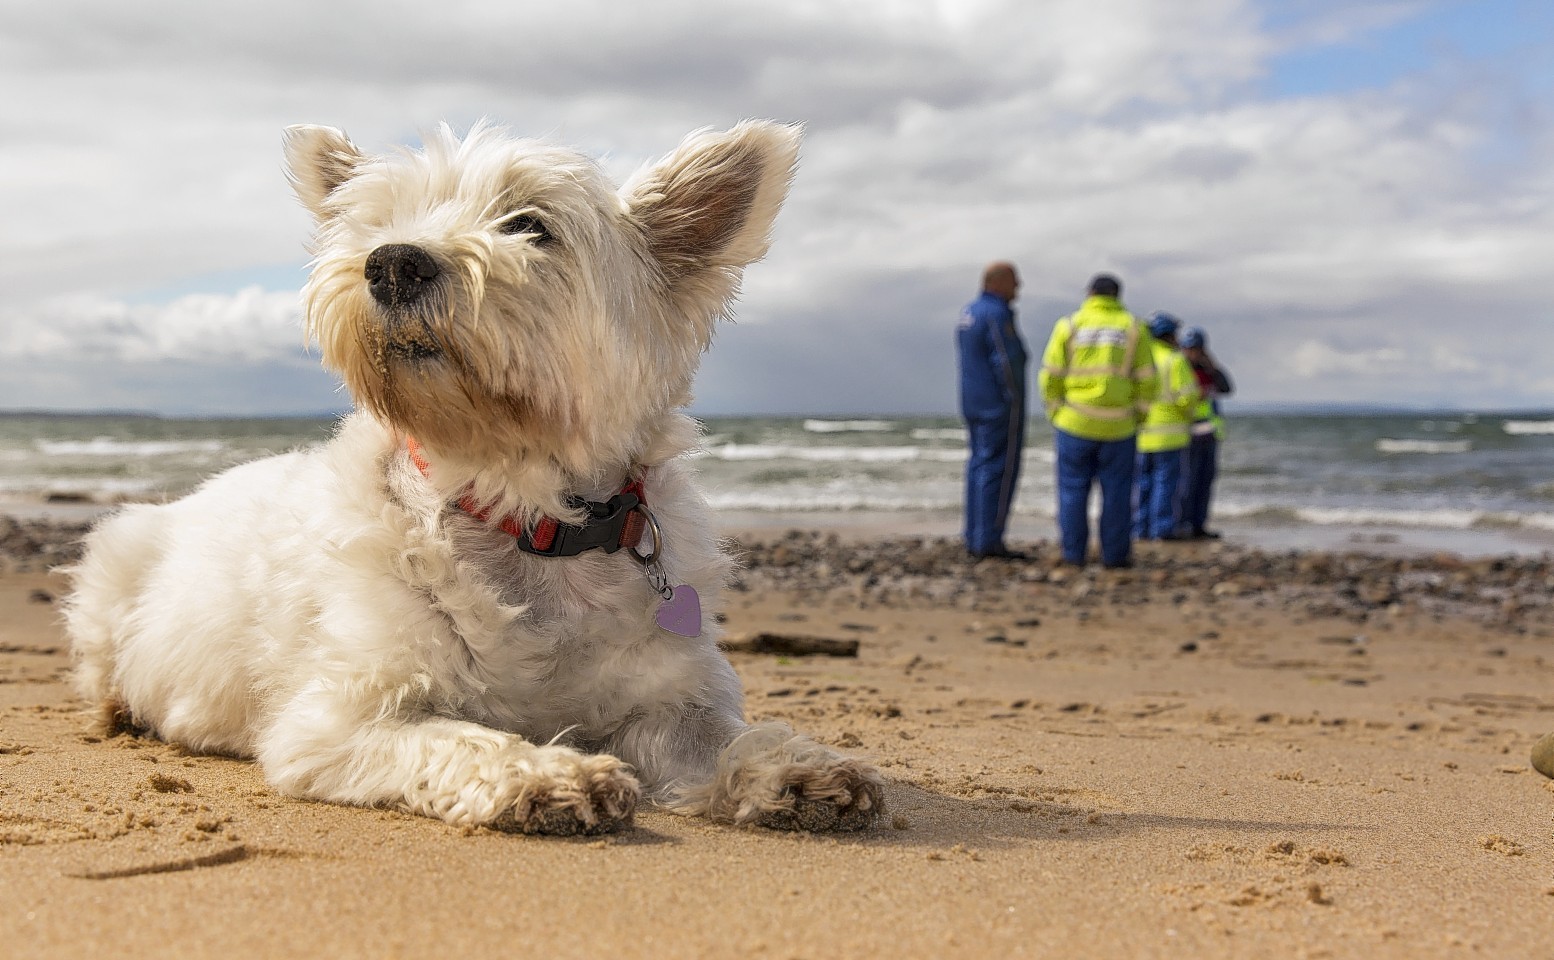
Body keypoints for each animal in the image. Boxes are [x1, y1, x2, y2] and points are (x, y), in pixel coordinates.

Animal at [66, 123, 888, 832]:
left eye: (530, 225)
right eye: (381, 220)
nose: (393, 261)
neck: (526, 514)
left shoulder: (666, 697)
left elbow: (715, 736)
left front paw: (797, 768)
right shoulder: (339, 717)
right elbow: (453, 736)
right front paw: (548, 773)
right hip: (113, 563)